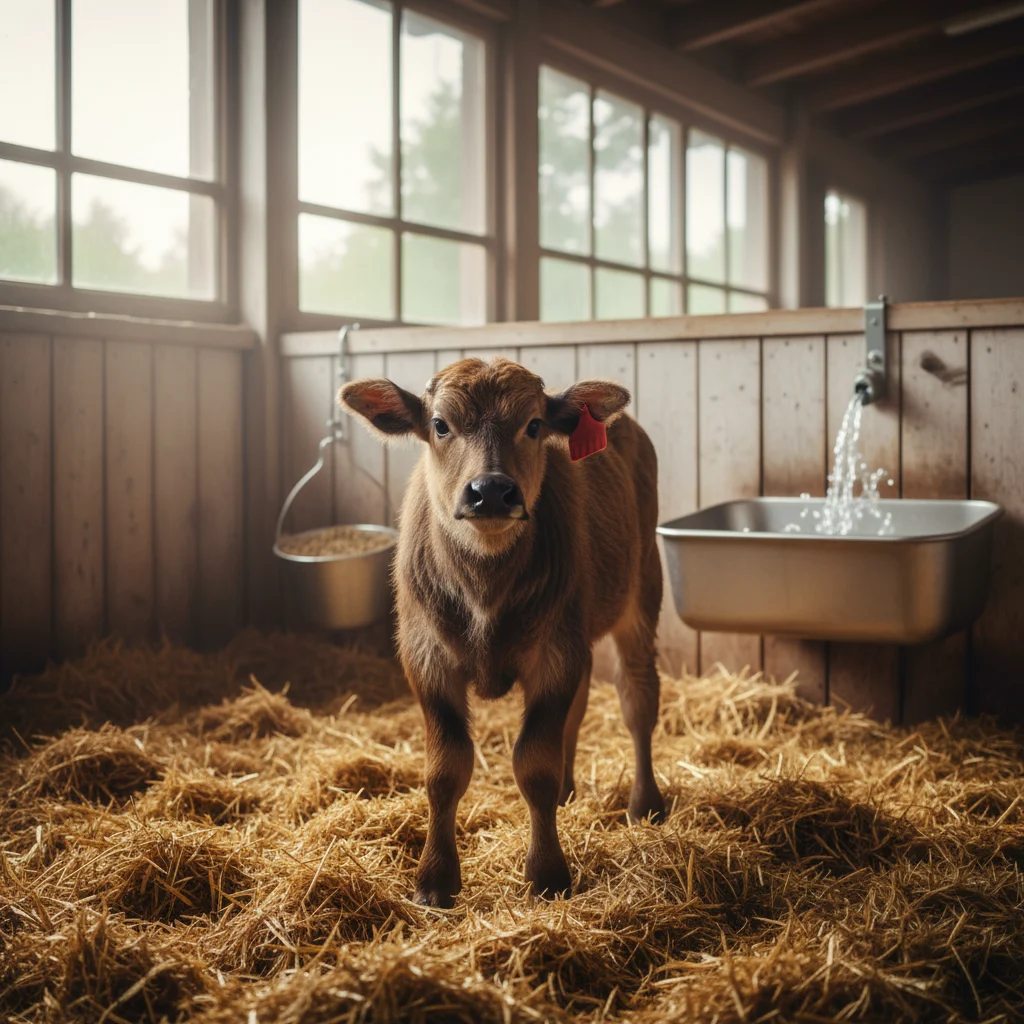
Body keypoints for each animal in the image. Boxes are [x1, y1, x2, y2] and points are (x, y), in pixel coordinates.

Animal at [340, 357, 665, 908]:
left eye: (533, 425)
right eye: (440, 424)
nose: (490, 491)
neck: (484, 586)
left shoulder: (555, 656)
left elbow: (534, 765)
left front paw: (547, 873)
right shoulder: (426, 659)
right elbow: (444, 769)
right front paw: (435, 880)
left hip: (643, 592)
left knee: (638, 701)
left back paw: (646, 804)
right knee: (579, 710)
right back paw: (571, 791)